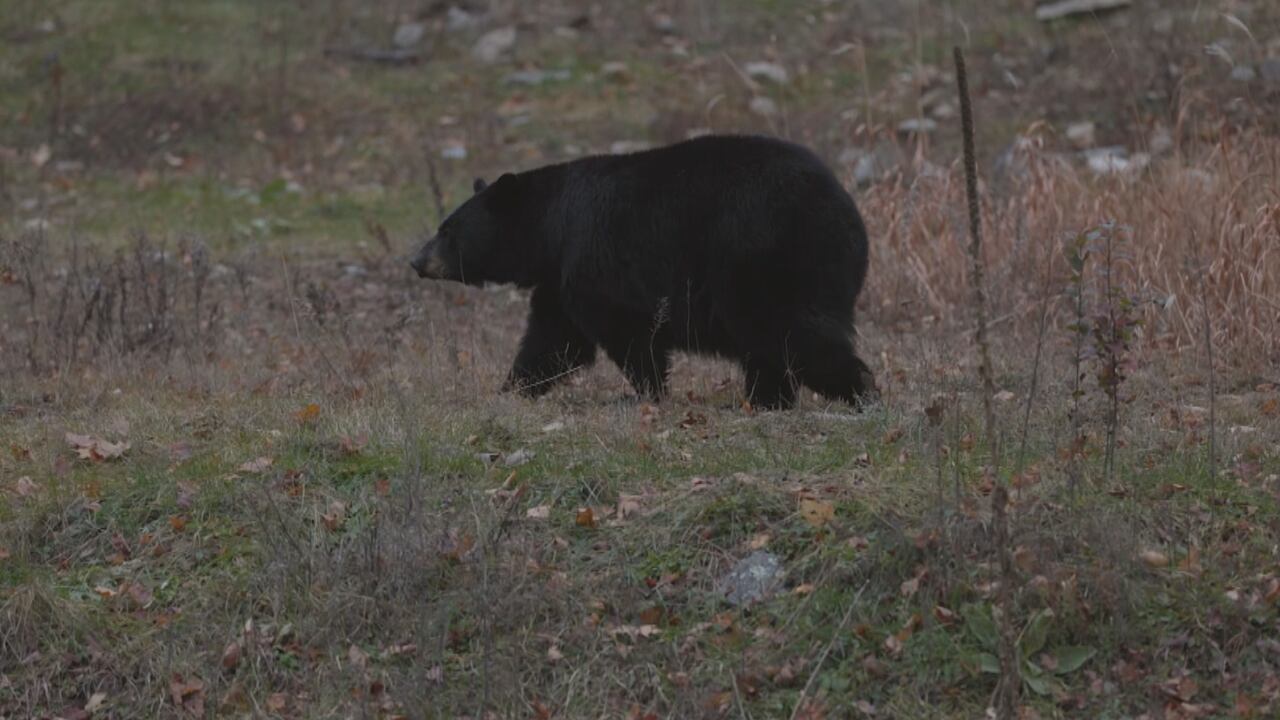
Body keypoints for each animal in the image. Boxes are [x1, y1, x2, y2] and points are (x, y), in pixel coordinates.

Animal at [409, 134, 877, 410]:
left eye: (447, 230)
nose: (416, 260)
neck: (551, 228)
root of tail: (849, 214)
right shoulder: (559, 277)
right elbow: (553, 340)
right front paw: (511, 390)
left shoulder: (593, 260)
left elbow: (626, 332)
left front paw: (648, 394)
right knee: (770, 345)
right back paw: (767, 400)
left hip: (766, 255)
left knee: (792, 334)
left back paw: (859, 391)